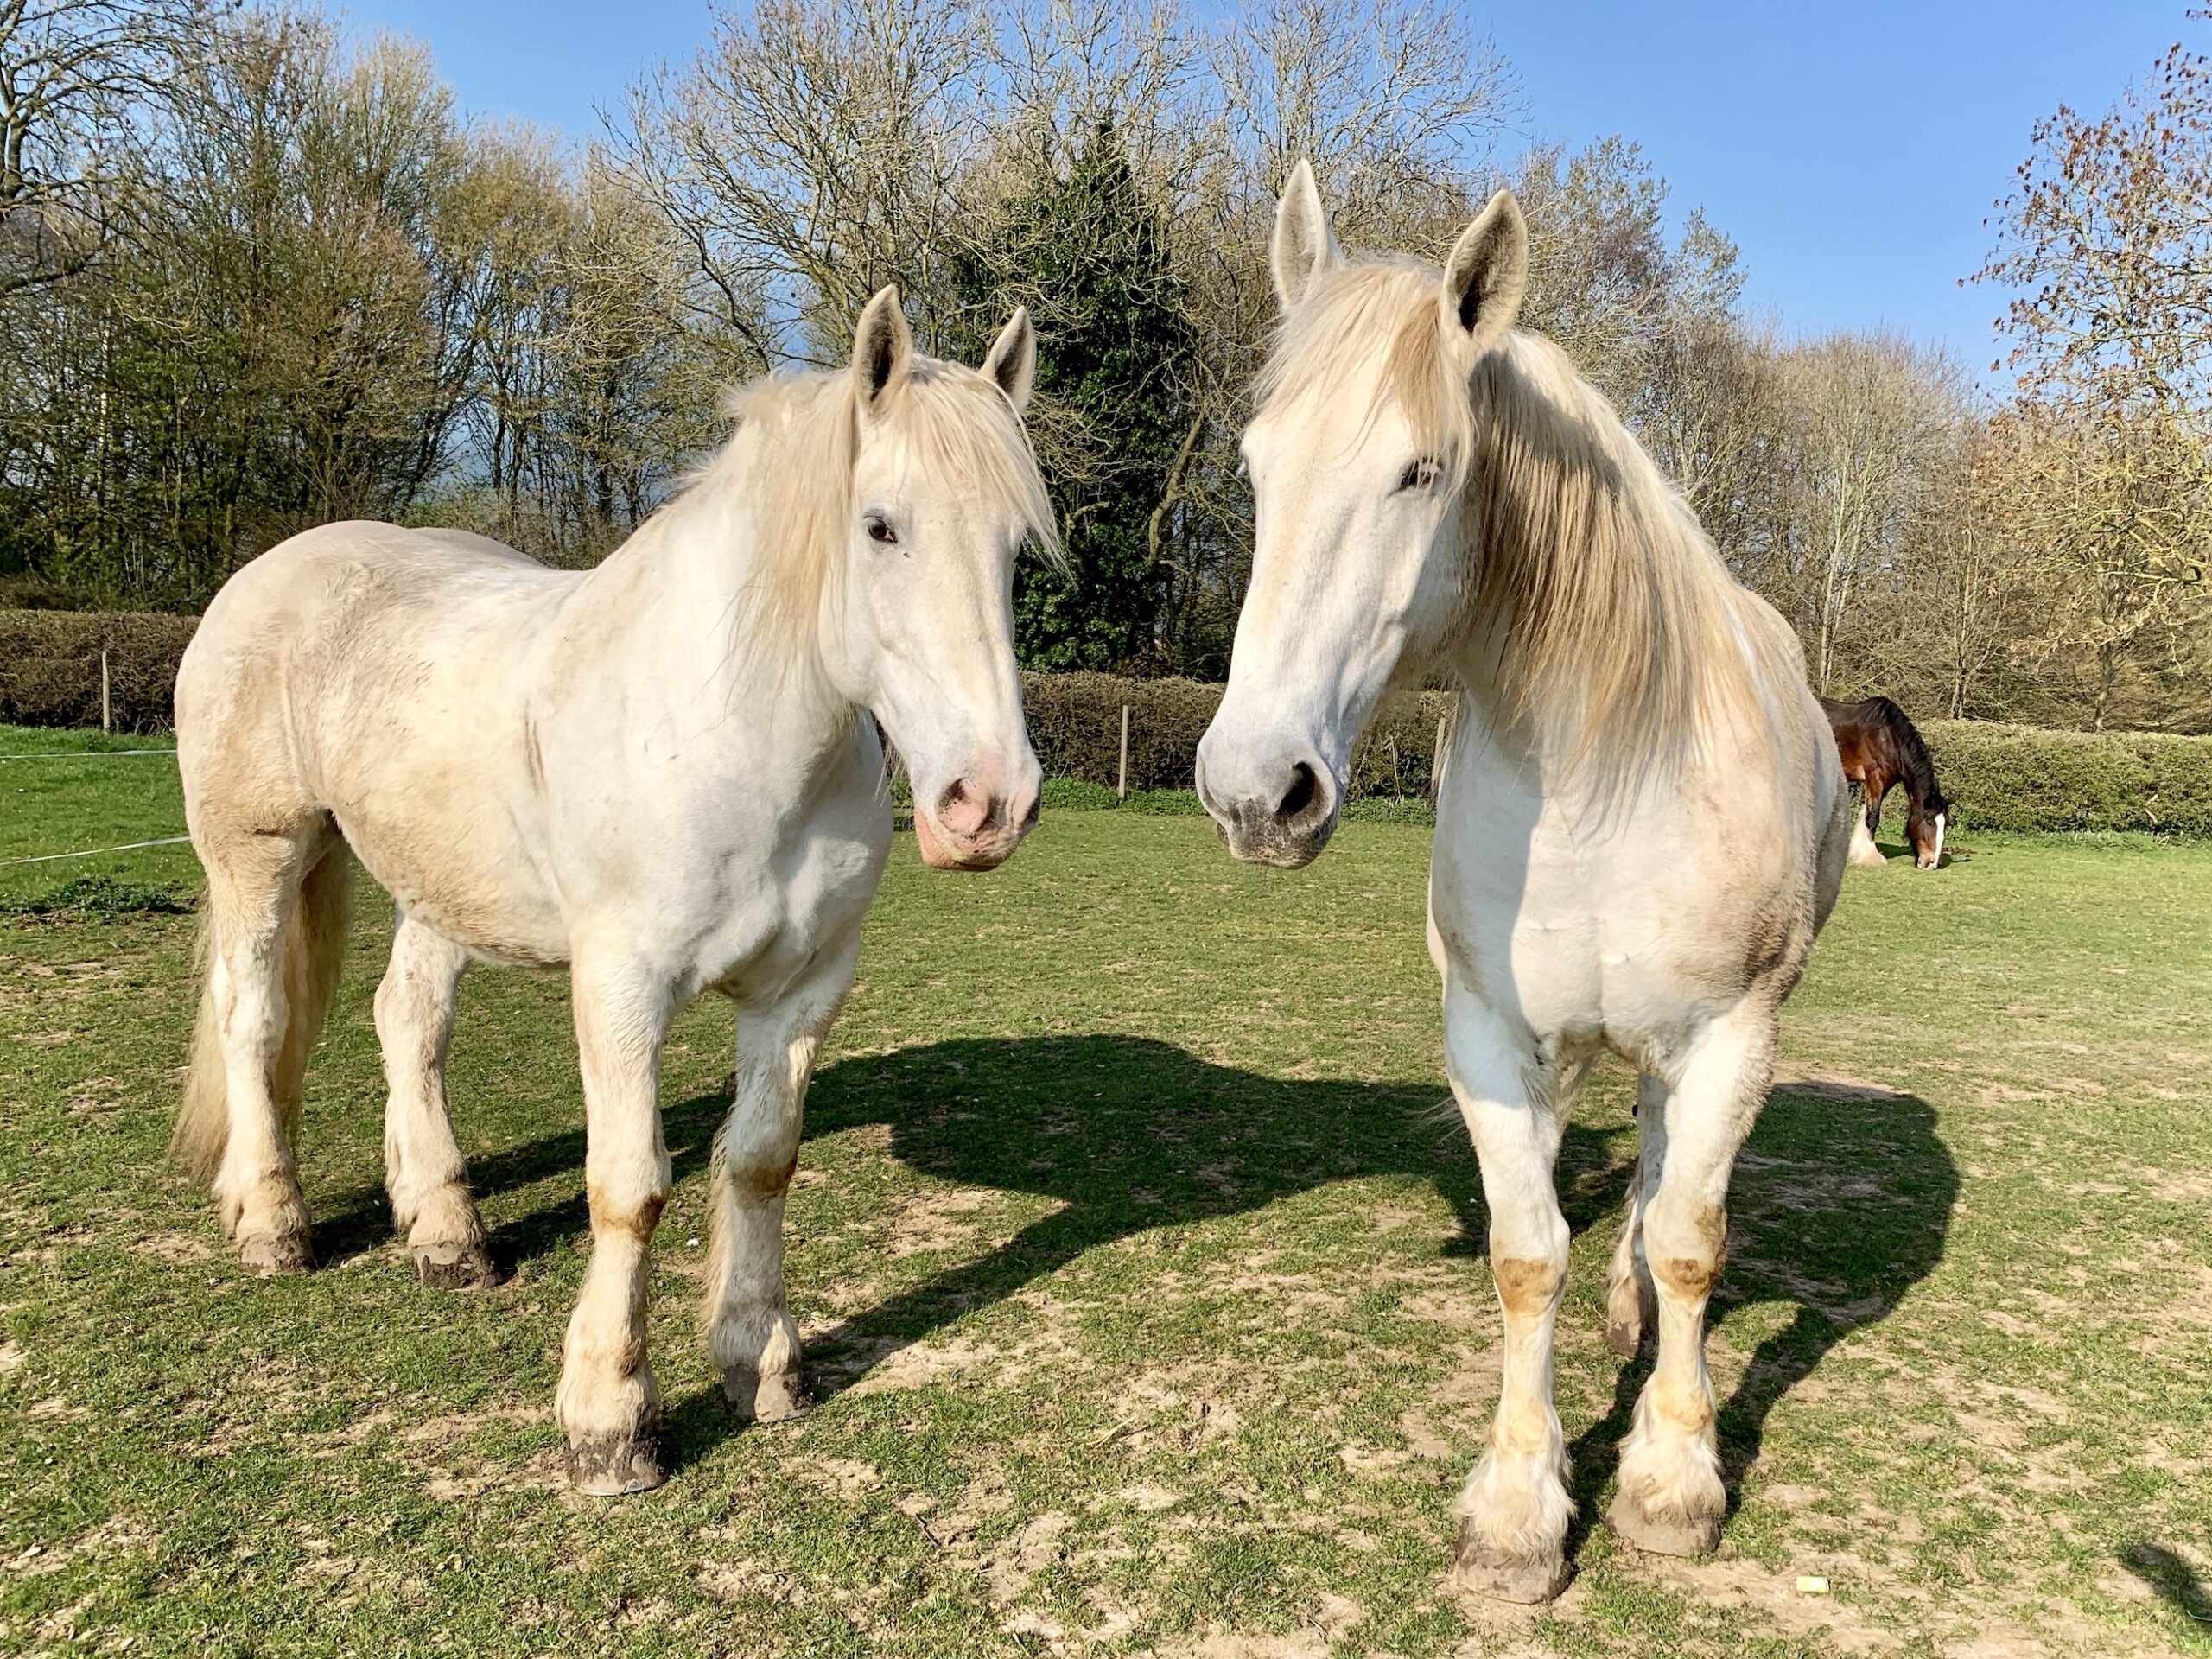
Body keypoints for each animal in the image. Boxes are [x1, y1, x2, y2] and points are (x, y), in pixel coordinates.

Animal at [169, 289, 1055, 1494]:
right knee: (254, 1022)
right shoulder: (623, 988)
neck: (732, 734)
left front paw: (761, 1364)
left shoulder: (803, 991)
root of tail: (270, 573)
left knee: (407, 1022)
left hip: (436, 887)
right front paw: (610, 1422)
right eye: (880, 526)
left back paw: (446, 1232)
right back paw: (272, 1223)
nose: (988, 803)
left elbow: (761, 1163)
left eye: (1015, 548)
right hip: (261, 855)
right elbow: (629, 1186)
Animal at [1196, 163, 1852, 1602]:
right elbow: (1522, 1252)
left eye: (1420, 470)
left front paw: (1671, 1481)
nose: (1256, 791)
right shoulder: (1492, 1038)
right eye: (1257, 466)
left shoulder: (1730, 1037)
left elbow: (1689, 1238)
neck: (1602, 775)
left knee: (1662, 1177)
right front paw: (1516, 1505)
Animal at [1820, 695, 1950, 869]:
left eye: (1946, 824)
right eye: (1929, 822)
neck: (1889, 737)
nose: (1932, 863)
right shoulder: (1875, 779)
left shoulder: (1884, 784)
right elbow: (1873, 817)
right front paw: (1871, 857)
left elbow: (1867, 813)